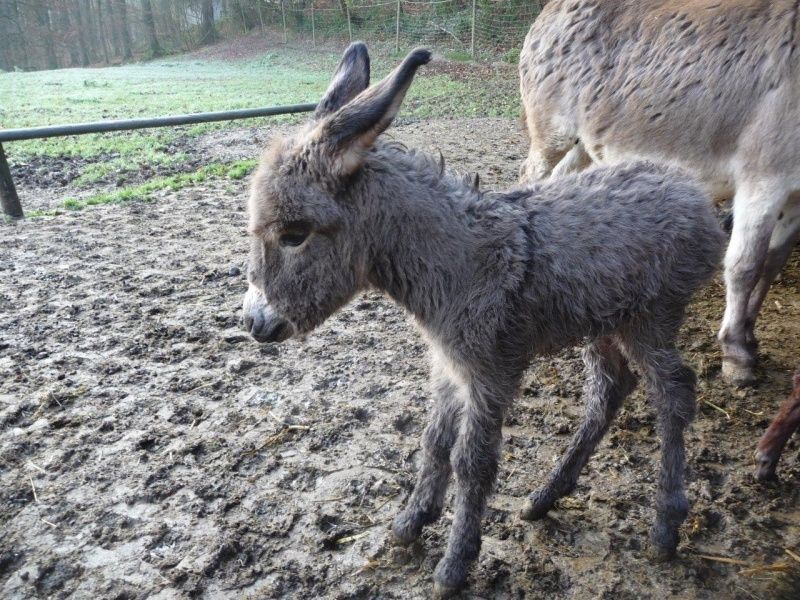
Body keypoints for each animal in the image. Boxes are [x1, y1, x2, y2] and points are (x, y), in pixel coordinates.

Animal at [242, 42, 724, 596]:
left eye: (294, 234)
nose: (254, 324)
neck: (460, 263)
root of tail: (687, 186)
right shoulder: (449, 366)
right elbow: (433, 442)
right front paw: (412, 521)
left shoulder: (491, 372)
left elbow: (470, 462)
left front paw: (455, 563)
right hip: (605, 322)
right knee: (610, 391)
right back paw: (546, 497)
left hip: (651, 317)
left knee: (674, 393)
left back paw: (665, 525)